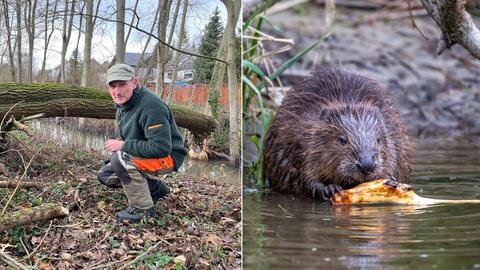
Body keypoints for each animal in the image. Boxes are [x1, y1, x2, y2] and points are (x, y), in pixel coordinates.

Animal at [264, 68, 410, 200]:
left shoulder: (393, 140)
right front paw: (329, 189)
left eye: (378, 140)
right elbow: (306, 176)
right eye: (342, 140)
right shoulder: (301, 140)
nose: (367, 165)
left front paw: (391, 180)